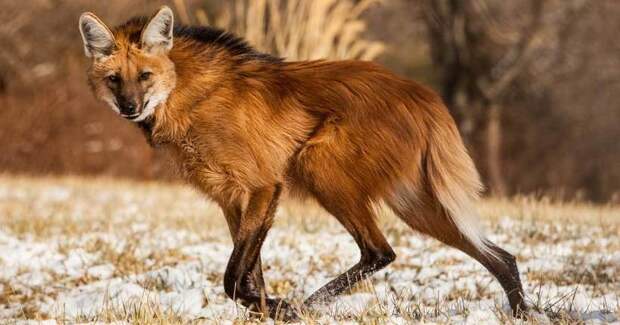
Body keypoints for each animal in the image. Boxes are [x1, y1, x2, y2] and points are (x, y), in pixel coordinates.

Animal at [78, 6, 528, 320]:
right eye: (115, 79)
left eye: (145, 76)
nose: (130, 108)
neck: (187, 95)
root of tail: (423, 94)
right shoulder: (231, 198)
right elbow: (249, 274)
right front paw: (268, 309)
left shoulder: (263, 185)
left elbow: (233, 278)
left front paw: (282, 308)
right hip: (414, 204)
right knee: (500, 256)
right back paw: (524, 313)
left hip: (320, 166)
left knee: (379, 252)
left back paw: (309, 304)